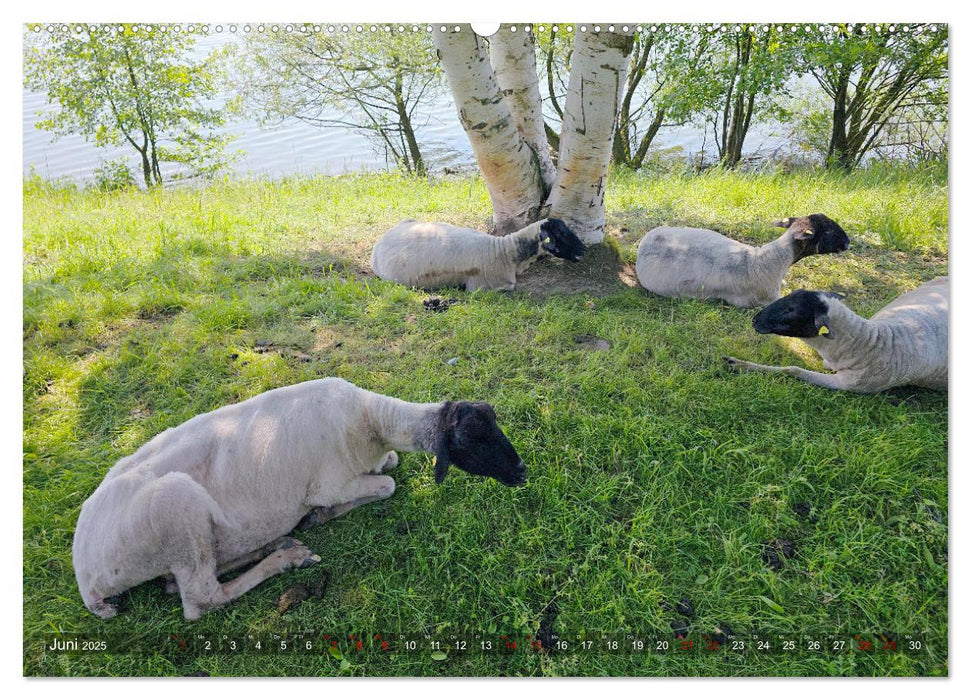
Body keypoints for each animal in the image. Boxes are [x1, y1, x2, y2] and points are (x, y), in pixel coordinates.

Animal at [72, 380, 528, 620]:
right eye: (474, 437)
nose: (522, 471)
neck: (370, 424)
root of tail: (85, 575)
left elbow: (391, 466)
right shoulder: (330, 483)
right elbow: (387, 485)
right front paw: (320, 515)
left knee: (182, 581)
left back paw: (279, 543)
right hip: (177, 510)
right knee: (199, 599)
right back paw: (288, 556)